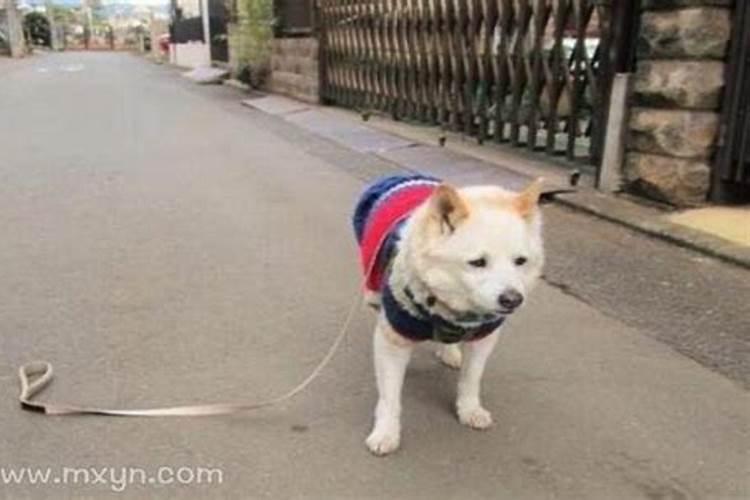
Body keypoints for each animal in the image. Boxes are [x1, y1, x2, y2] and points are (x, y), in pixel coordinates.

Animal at [356, 176, 544, 458]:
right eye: (478, 262)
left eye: (520, 261)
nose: (512, 300)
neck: (452, 308)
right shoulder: (394, 339)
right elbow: (390, 396)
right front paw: (386, 432)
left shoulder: (483, 336)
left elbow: (471, 379)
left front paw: (469, 410)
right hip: (372, 287)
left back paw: (451, 352)